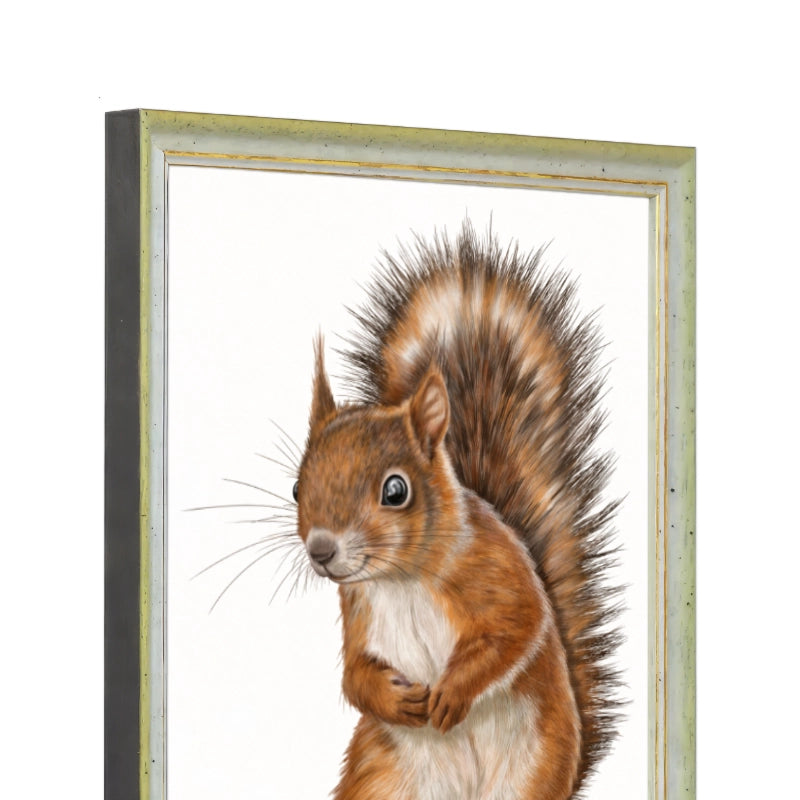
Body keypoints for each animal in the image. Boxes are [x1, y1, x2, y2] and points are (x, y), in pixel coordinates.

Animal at [292, 222, 622, 800]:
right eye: (294, 489)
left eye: (395, 490)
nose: (322, 551)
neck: (402, 579)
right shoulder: (358, 610)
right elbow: (354, 675)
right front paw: (395, 699)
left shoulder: (497, 569)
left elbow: (516, 629)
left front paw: (450, 693)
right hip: (383, 777)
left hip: (530, 772)